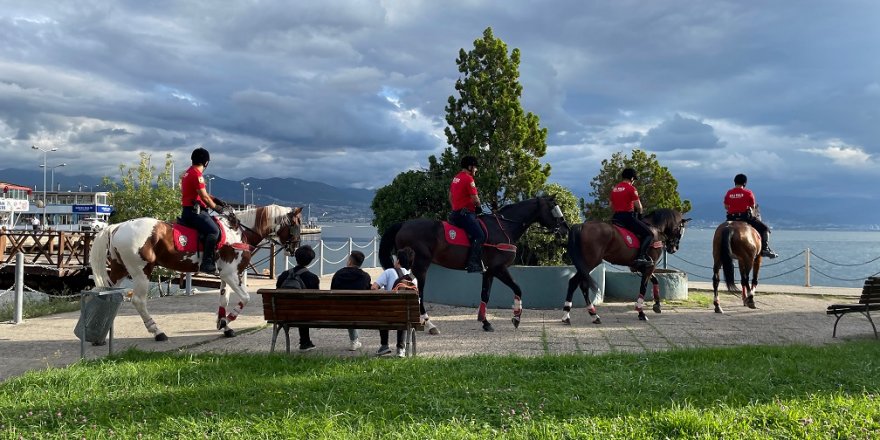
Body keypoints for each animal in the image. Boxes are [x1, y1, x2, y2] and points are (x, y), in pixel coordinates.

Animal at [380, 194, 572, 332]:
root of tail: (404, 224)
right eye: (554, 208)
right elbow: (518, 288)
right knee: (417, 292)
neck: (503, 227)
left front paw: (485, 321)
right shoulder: (499, 269)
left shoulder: (489, 272)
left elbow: (485, 295)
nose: (565, 229)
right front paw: (516, 317)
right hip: (420, 266)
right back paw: (429, 324)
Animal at [560, 210, 692, 324]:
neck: (655, 229)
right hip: (590, 263)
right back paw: (574, 314)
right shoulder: (650, 266)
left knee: (579, 284)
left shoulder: (642, 267)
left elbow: (655, 280)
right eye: (681, 230)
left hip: (585, 265)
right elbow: (643, 287)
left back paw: (587, 314)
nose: (674, 248)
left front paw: (657, 305)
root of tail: (582, 226)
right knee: (576, 283)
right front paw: (641, 312)